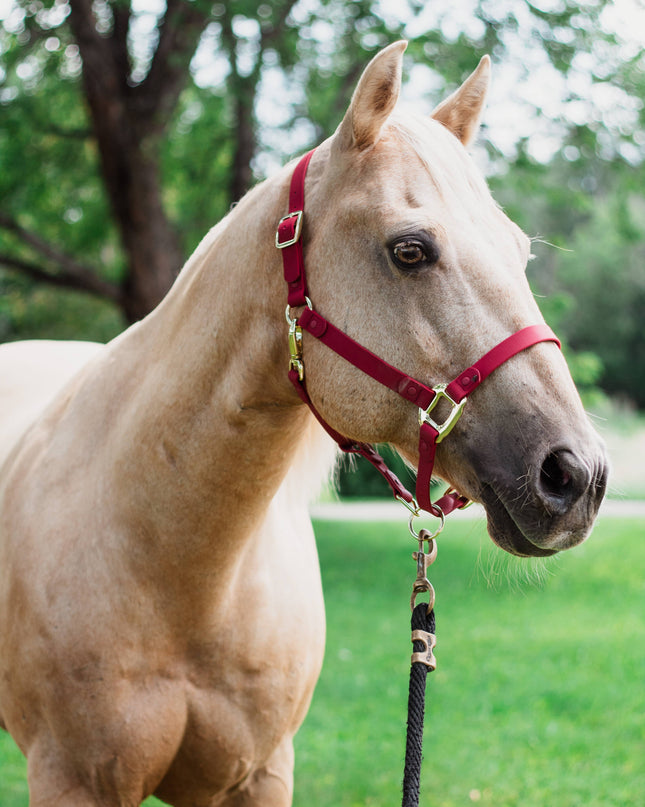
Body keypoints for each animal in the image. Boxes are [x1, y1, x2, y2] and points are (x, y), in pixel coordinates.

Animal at [0, 42, 607, 806]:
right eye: (409, 250)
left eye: (519, 251)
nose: (577, 475)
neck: (174, 566)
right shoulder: (73, 779)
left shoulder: (257, 775)